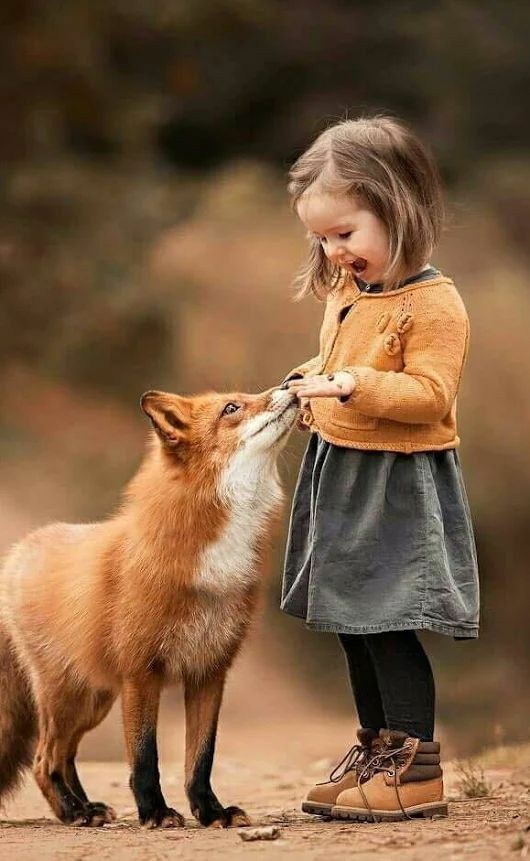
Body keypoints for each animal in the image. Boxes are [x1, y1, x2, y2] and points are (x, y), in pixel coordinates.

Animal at [0, 385, 298, 828]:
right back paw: (73, 812)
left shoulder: (209, 671)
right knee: (43, 759)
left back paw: (86, 807)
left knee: (65, 755)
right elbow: (145, 758)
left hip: (93, 702)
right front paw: (155, 811)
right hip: (65, 697)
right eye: (232, 408)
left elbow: (201, 759)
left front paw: (210, 811)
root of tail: (17, 551)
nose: (292, 383)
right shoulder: (141, 672)